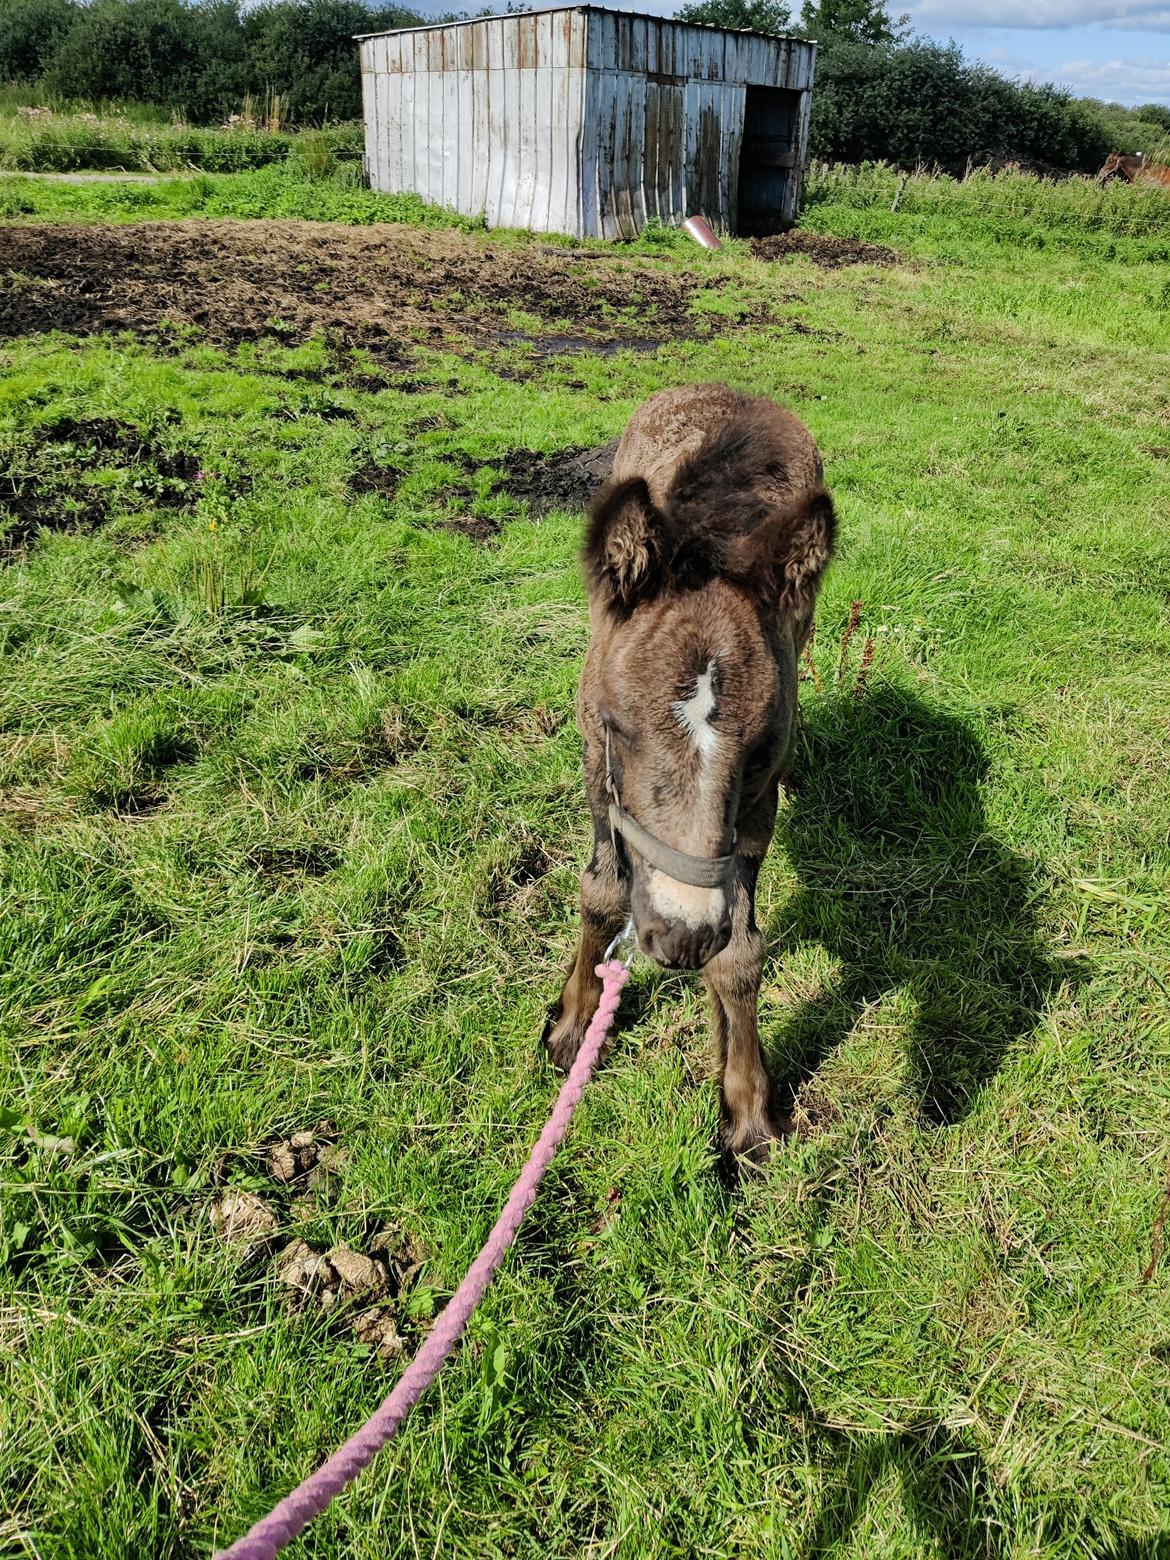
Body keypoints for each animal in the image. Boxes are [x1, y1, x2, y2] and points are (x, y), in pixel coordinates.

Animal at [546, 380, 836, 1160]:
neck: (716, 534)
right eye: (618, 727)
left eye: (761, 749)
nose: (681, 939)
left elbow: (742, 953)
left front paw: (748, 1109)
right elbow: (602, 891)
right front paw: (574, 1024)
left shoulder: (759, 804)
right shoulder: (595, 765)